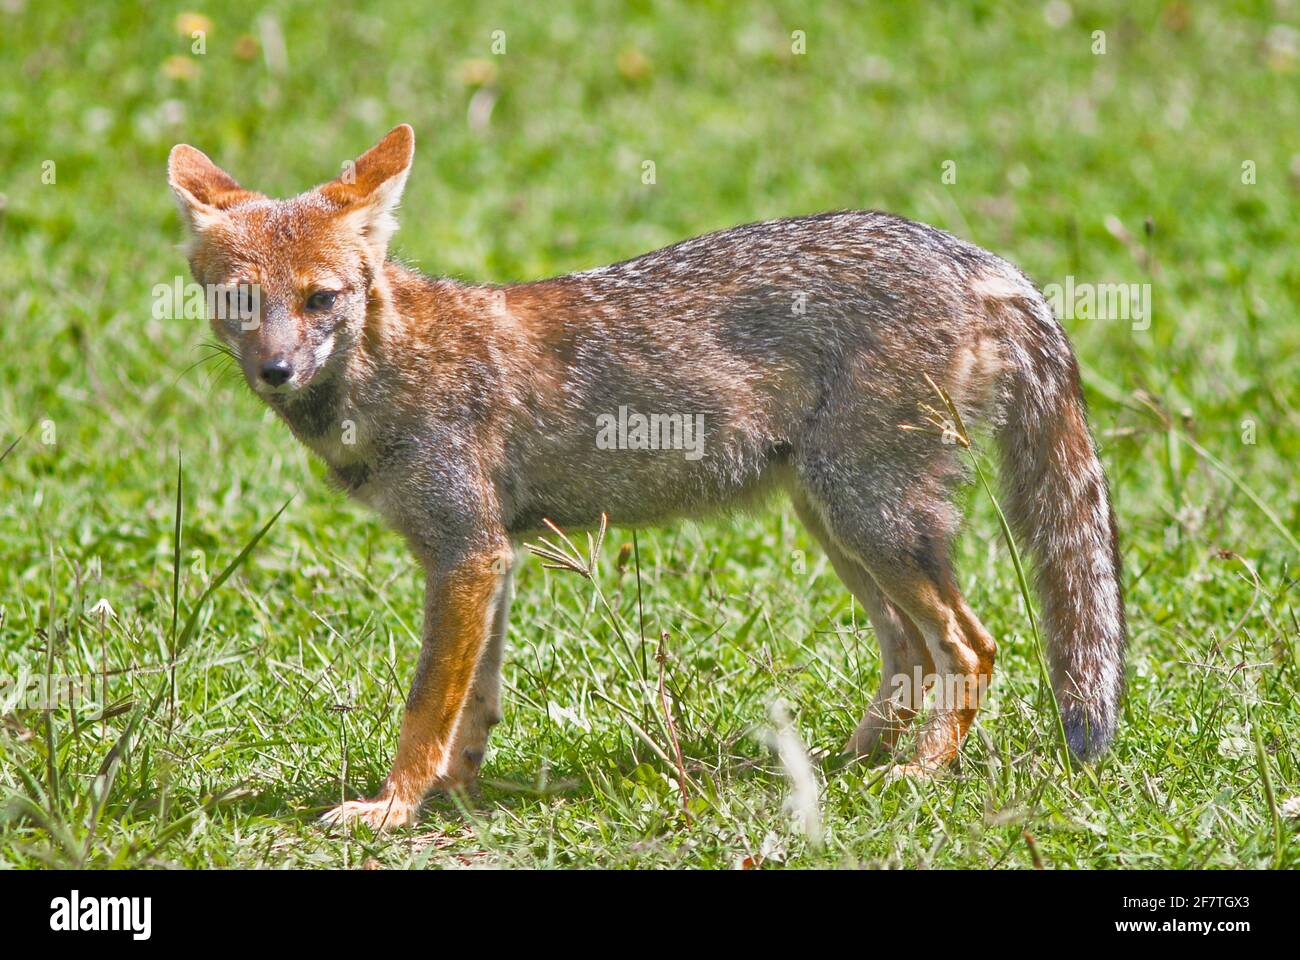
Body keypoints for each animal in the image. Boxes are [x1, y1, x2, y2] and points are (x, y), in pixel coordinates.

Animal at [170, 123, 1128, 827]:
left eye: (321, 300)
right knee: (910, 653)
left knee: (972, 646)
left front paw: (392, 809)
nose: (276, 372)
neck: (390, 372)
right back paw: (844, 765)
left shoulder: (466, 554)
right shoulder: (488, 558)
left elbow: (424, 708)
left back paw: (921, 773)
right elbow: (472, 706)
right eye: (242, 302)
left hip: (872, 522)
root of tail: (980, 261)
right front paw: (455, 795)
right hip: (841, 524)